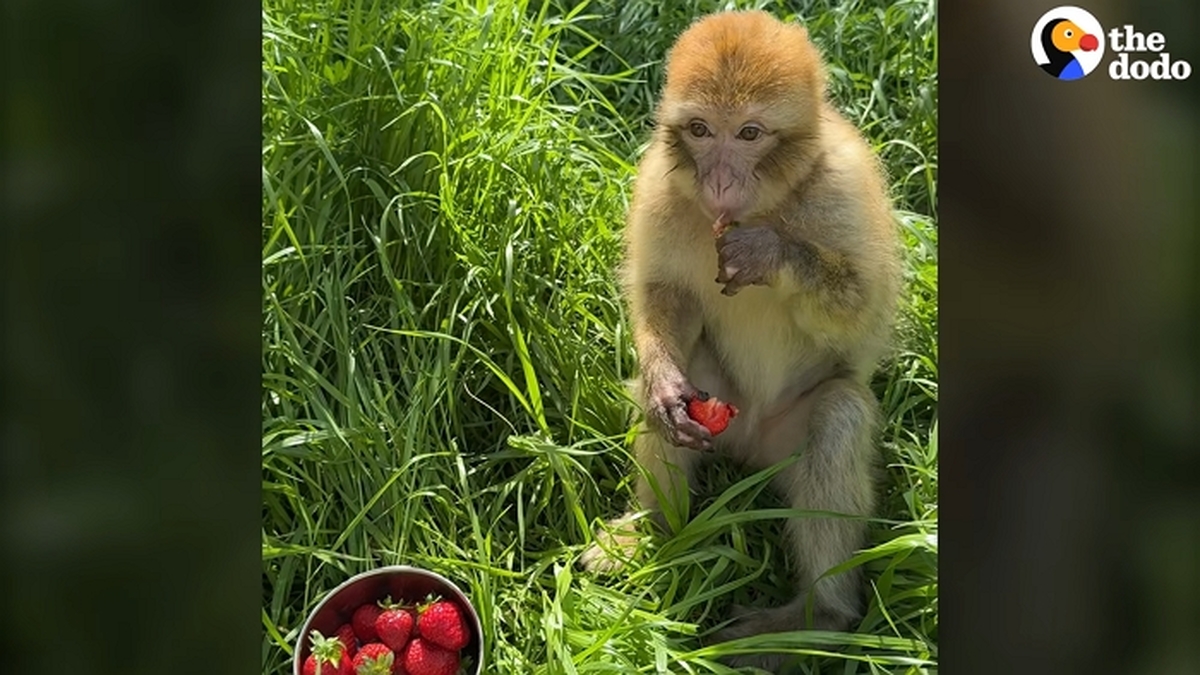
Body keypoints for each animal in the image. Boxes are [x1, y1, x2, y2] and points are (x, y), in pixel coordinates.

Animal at [578, 10, 903, 672]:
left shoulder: (844, 191)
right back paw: (653, 529)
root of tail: (750, 449)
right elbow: (665, 296)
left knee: (840, 412)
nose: (720, 179)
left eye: (750, 133)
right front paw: (664, 384)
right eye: (702, 130)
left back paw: (817, 618)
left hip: (784, 443)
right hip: (721, 414)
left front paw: (768, 254)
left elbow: (862, 319)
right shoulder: (661, 185)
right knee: (680, 382)